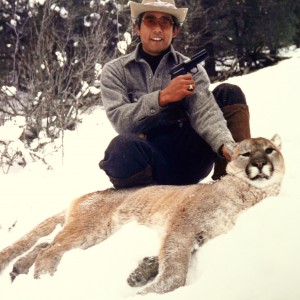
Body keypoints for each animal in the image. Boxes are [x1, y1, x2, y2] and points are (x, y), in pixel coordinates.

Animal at [0, 135, 284, 294]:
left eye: (270, 150)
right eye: (246, 153)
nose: (260, 163)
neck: (249, 197)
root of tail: (86, 195)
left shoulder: (198, 234)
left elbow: (168, 261)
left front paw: (141, 274)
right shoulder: (182, 224)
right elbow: (175, 271)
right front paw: (148, 290)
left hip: (96, 235)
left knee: (46, 244)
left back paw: (18, 269)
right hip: (90, 229)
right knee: (50, 250)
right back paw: (42, 281)